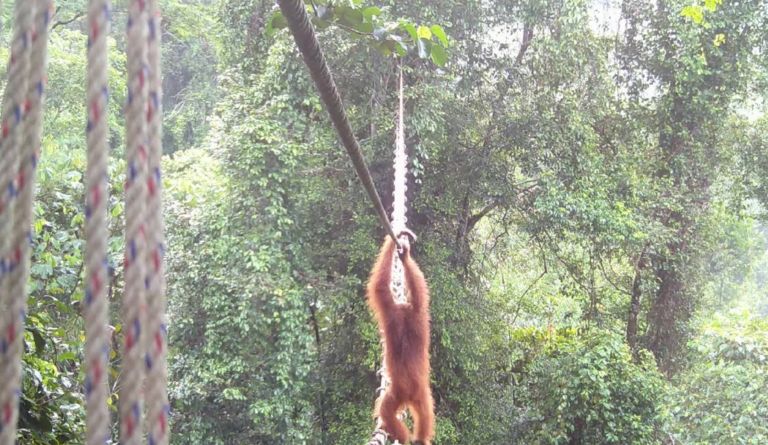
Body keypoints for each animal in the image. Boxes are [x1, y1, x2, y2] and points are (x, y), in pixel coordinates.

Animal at [366, 229, 434, 445]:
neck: (404, 316)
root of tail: (407, 392)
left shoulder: (396, 311)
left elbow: (381, 287)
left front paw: (403, 253)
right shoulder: (413, 314)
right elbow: (419, 295)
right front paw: (404, 253)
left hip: (403, 393)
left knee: (388, 412)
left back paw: (408, 438)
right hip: (414, 394)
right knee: (419, 414)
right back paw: (413, 438)